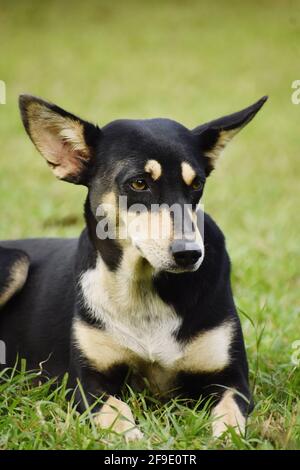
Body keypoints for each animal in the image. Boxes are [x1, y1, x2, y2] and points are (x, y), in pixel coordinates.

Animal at [0, 94, 268, 440]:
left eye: (197, 184)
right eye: (139, 183)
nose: (190, 254)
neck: (143, 288)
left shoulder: (232, 380)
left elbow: (229, 417)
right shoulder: (87, 383)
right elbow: (118, 411)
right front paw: (133, 438)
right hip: (16, 262)